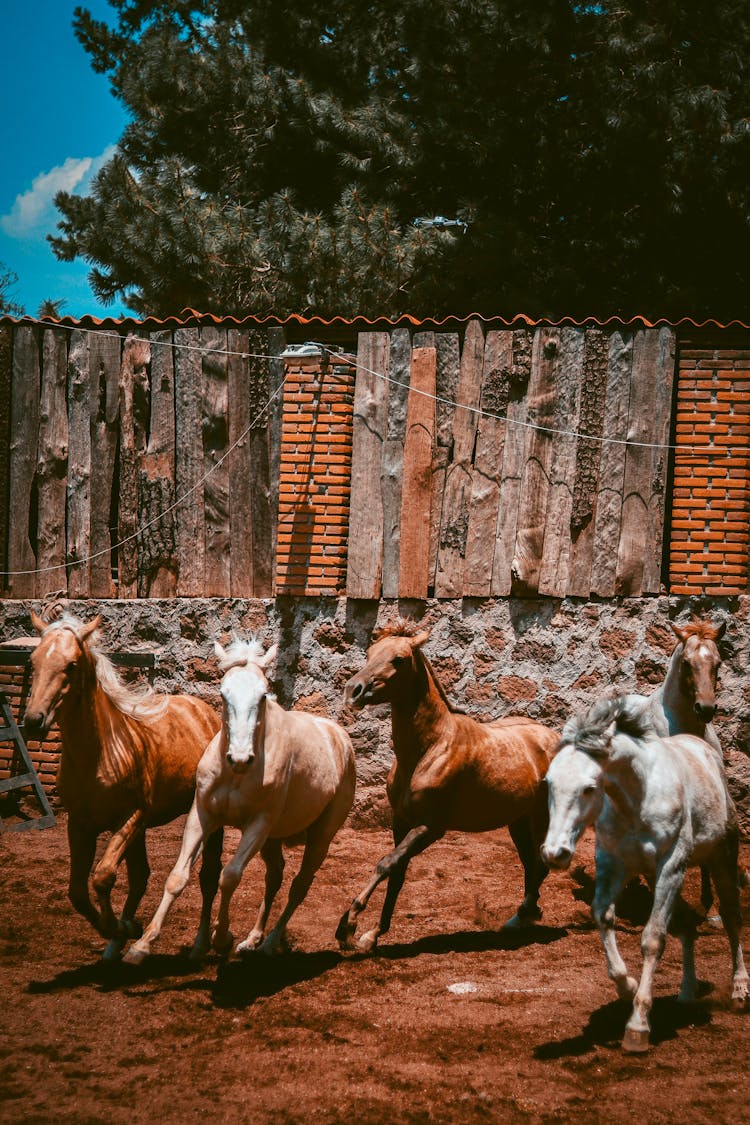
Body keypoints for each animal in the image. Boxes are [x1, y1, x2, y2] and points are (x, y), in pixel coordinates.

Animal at [24, 612, 222, 963]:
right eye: (33, 662)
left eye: (71, 665)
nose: (34, 721)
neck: (100, 752)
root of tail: (205, 712)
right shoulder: (80, 825)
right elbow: (77, 891)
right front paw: (120, 931)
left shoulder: (131, 817)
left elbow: (103, 877)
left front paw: (118, 928)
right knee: (141, 877)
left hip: (205, 819)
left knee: (209, 877)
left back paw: (199, 944)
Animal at [124, 639, 357, 963]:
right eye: (224, 693)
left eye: (263, 695)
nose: (240, 757)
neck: (235, 775)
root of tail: (339, 737)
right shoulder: (202, 815)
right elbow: (177, 877)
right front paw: (142, 945)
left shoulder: (258, 824)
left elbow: (230, 876)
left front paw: (221, 937)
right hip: (273, 839)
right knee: (275, 877)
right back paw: (253, 940)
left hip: (321, 835)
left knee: (299, 885)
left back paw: (270, 942)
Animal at [337, 621, 559, 954]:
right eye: (370, 653)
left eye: (399, 659)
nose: (354, 690)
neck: (429, 748)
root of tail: (556, 737)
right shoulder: (401, 822)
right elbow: (397, 873)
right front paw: (372, 934)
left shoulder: (431, 827)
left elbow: (385, 864)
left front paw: (348, 927)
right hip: (518, 821)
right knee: (532, 864)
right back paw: (521, 917)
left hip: (541, 816)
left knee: (541, 863)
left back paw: (522, 916)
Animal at [541, 693, 746, 1053]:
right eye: (549, 783)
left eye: (589, 788)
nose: (555, 853)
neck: (637, 799)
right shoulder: (614, 864)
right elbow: (602, 916)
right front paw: (628, 986)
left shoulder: (671, 866)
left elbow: (653, 939)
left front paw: (637, 1027)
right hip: (656, 876)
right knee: (684, 923)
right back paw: (687, 993)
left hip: (721, 857)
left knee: (731, 916)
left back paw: (739, 990)